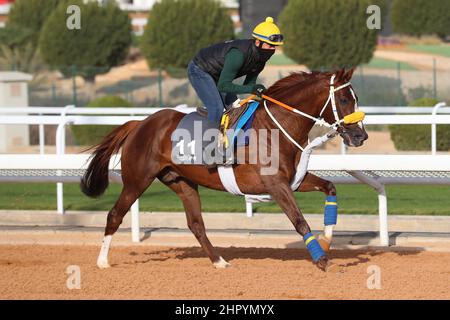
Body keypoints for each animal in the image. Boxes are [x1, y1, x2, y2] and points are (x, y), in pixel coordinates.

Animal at [81, 68, 366, 272]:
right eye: (343, 99)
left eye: (356, 98)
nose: (360, 136)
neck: (276, 127)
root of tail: (140, 124)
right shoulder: (276, 185)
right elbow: (299, 221)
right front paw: (321, 259)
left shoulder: (295, 179)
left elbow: (330, 187)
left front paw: (327, 239)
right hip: (137, 180)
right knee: (114, 214)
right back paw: (102, 261)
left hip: (181, 182)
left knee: (196, 224)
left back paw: (219, 261)